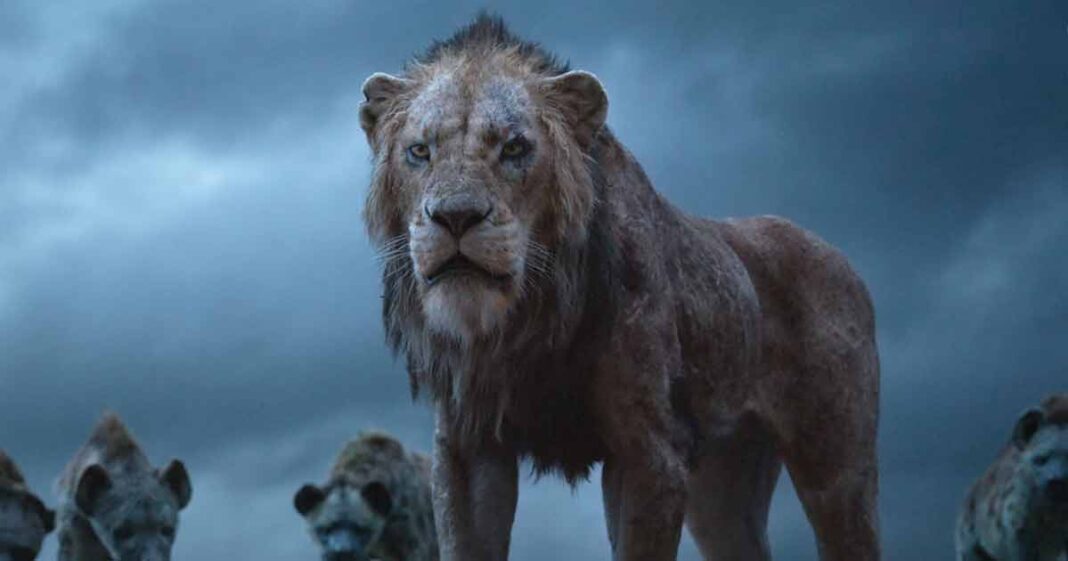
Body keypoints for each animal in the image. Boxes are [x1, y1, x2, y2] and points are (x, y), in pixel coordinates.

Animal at [359, 15, 881, 561]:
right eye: (420, 151)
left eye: (515, 148)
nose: (456, 217)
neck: (523, 322)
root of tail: (841, 257)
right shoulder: (466, 449)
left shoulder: (649, 451)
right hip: (721, 488)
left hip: (838, 469)